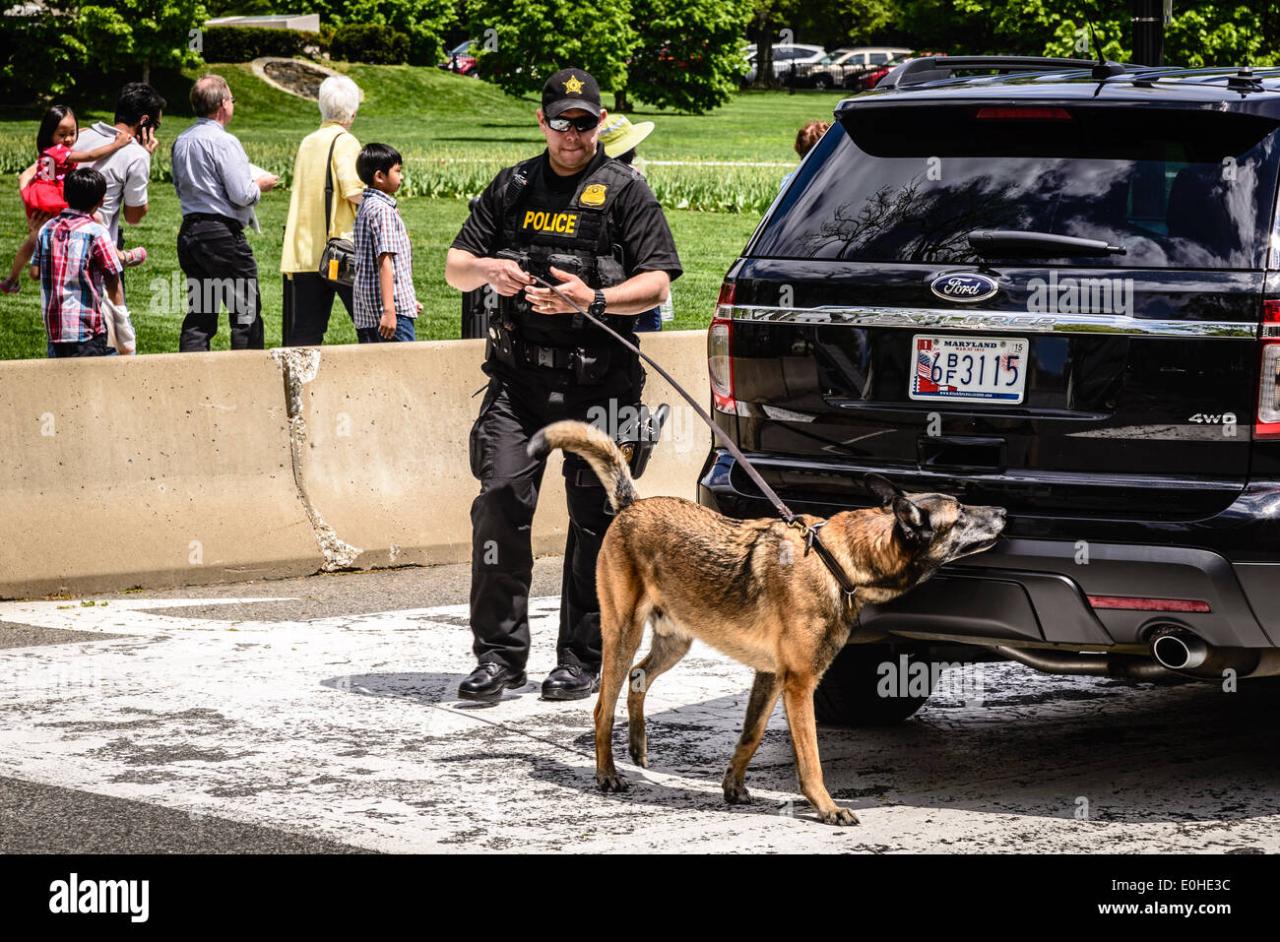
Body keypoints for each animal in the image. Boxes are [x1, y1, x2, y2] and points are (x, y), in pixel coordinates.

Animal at [524, 419, 1003, 824]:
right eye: (960, 513)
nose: (1002, 512)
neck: (836, 557)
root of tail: (632, 505)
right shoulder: (799, 684)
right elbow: (810, 756)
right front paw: (826, 807)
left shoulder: (770, 676)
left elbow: (750, 735)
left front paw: (733, 786)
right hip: (623, 633)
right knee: (603, 705)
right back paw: (607, 772)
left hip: (675, 640)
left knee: (639, 676)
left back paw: (638, 746)